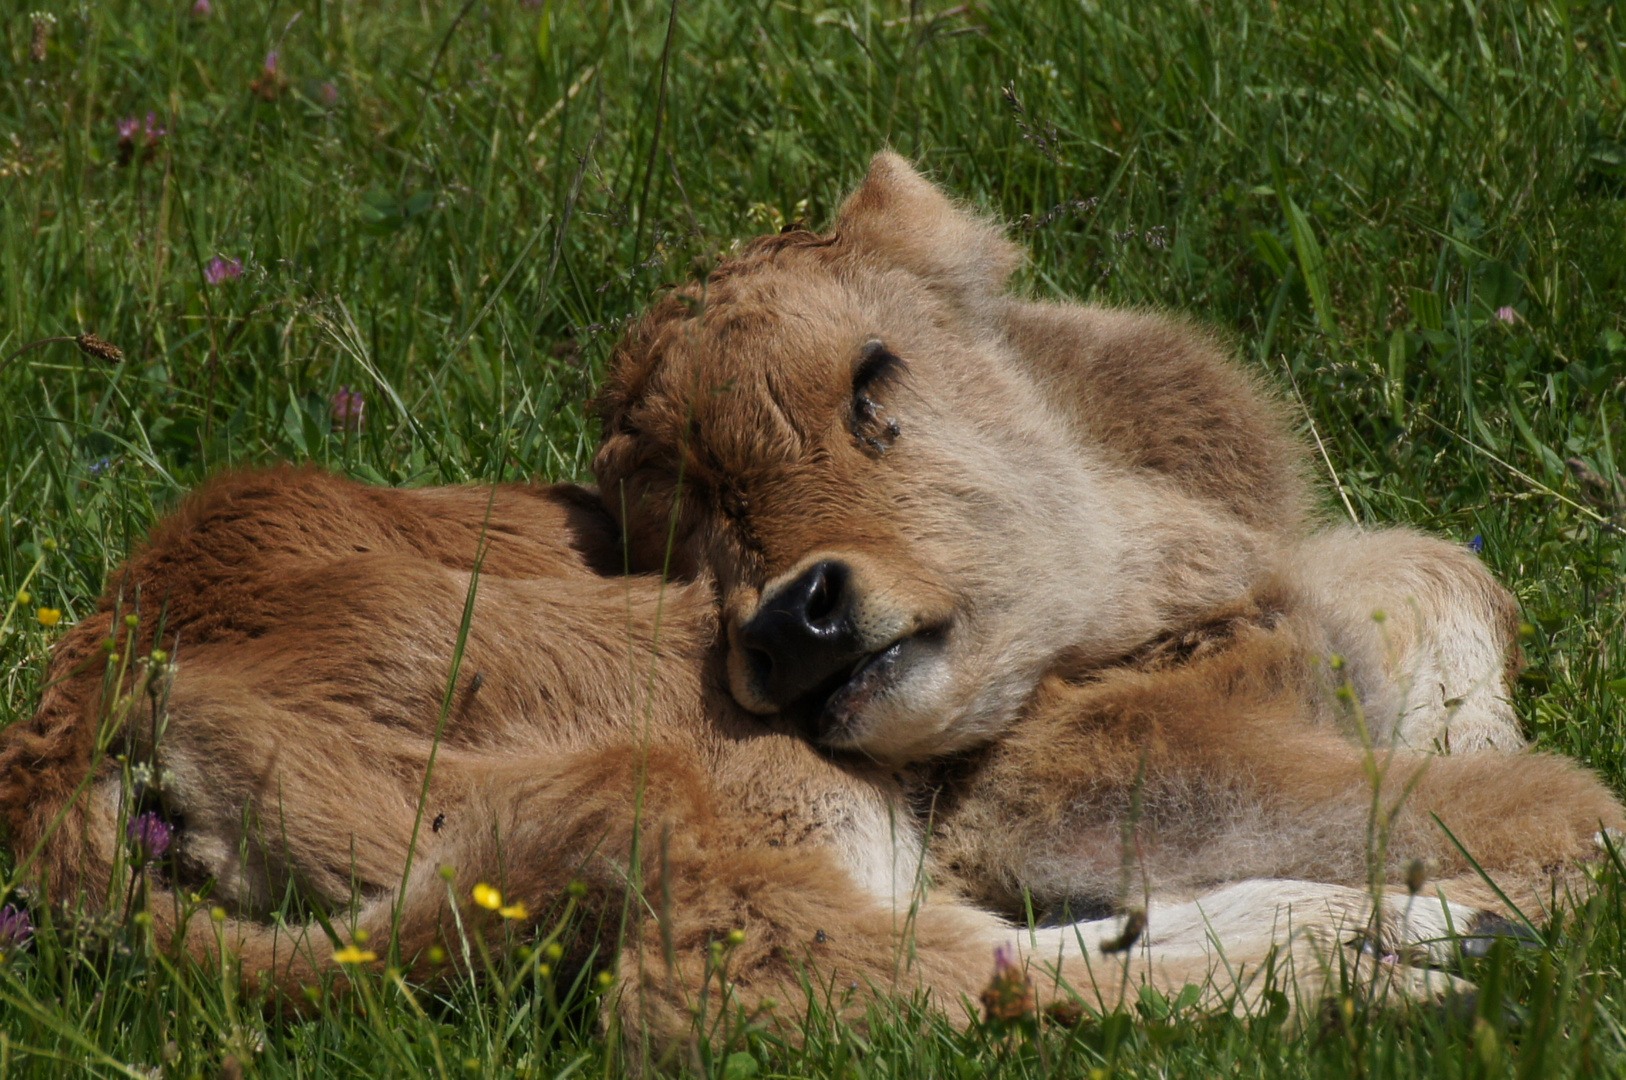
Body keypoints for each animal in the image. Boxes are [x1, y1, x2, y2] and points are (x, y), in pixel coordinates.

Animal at [595, 152, 1626, 923]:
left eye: (872, 374)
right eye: (672, 533)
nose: (793, 623)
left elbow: (1447, 574)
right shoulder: (1100, 776)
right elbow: (1560, 808)